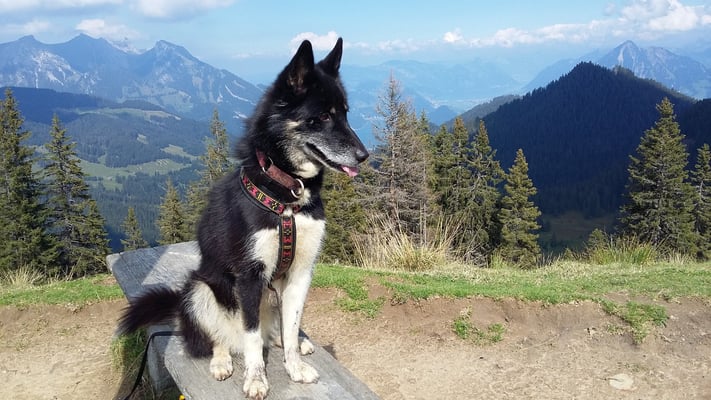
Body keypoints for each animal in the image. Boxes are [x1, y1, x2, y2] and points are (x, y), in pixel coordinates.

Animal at [118, 37, 368, 399]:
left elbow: (291, 328)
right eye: (322, 116)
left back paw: (294, 342)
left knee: (277, 332)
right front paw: (255, 378)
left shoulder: (301, 274)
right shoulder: (249, 277)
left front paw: (294, 366)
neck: (286, 198)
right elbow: (250, 338)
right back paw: (222, 360)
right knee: (217, 338)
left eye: (346, 113)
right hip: (199, 290)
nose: (365, 156)